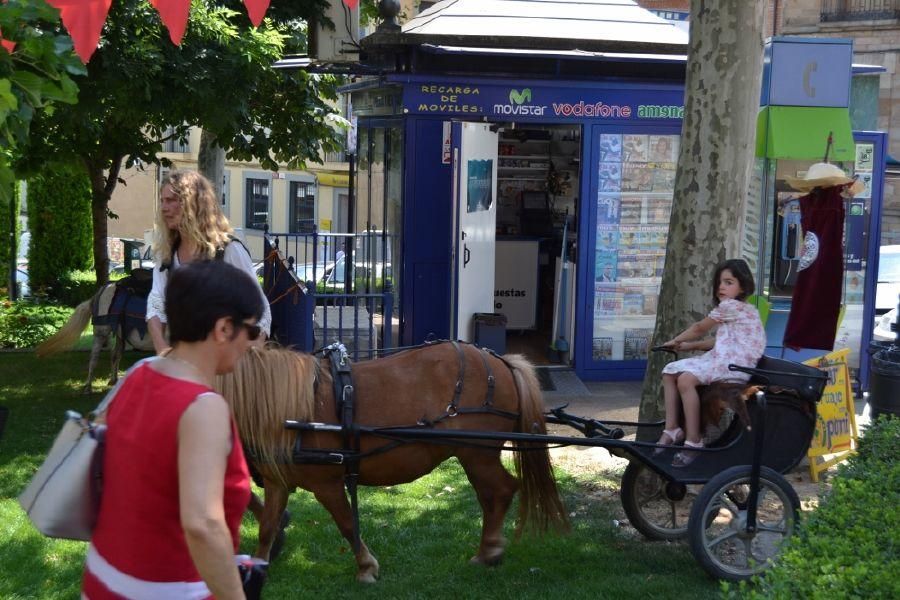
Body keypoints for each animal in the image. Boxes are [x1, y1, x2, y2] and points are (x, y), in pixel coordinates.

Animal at [216, 342, 568, 580]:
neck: (290, 409)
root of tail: (501, 361)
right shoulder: (278, 482)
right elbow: (267, 527)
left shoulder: (326, 484)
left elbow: (347, 524)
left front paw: (366, 566)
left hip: (477, 455)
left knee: (500, 492)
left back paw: (489, 551)